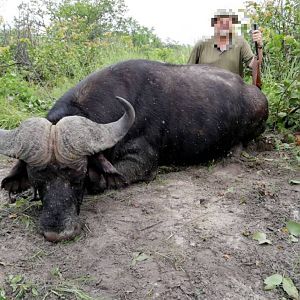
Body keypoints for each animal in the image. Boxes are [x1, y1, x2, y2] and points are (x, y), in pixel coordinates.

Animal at [0, 58, 268, 241]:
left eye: (79, 177)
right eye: (37, 180)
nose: (57, 233)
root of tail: (253, 92)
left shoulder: (141, 163)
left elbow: (100, 181)